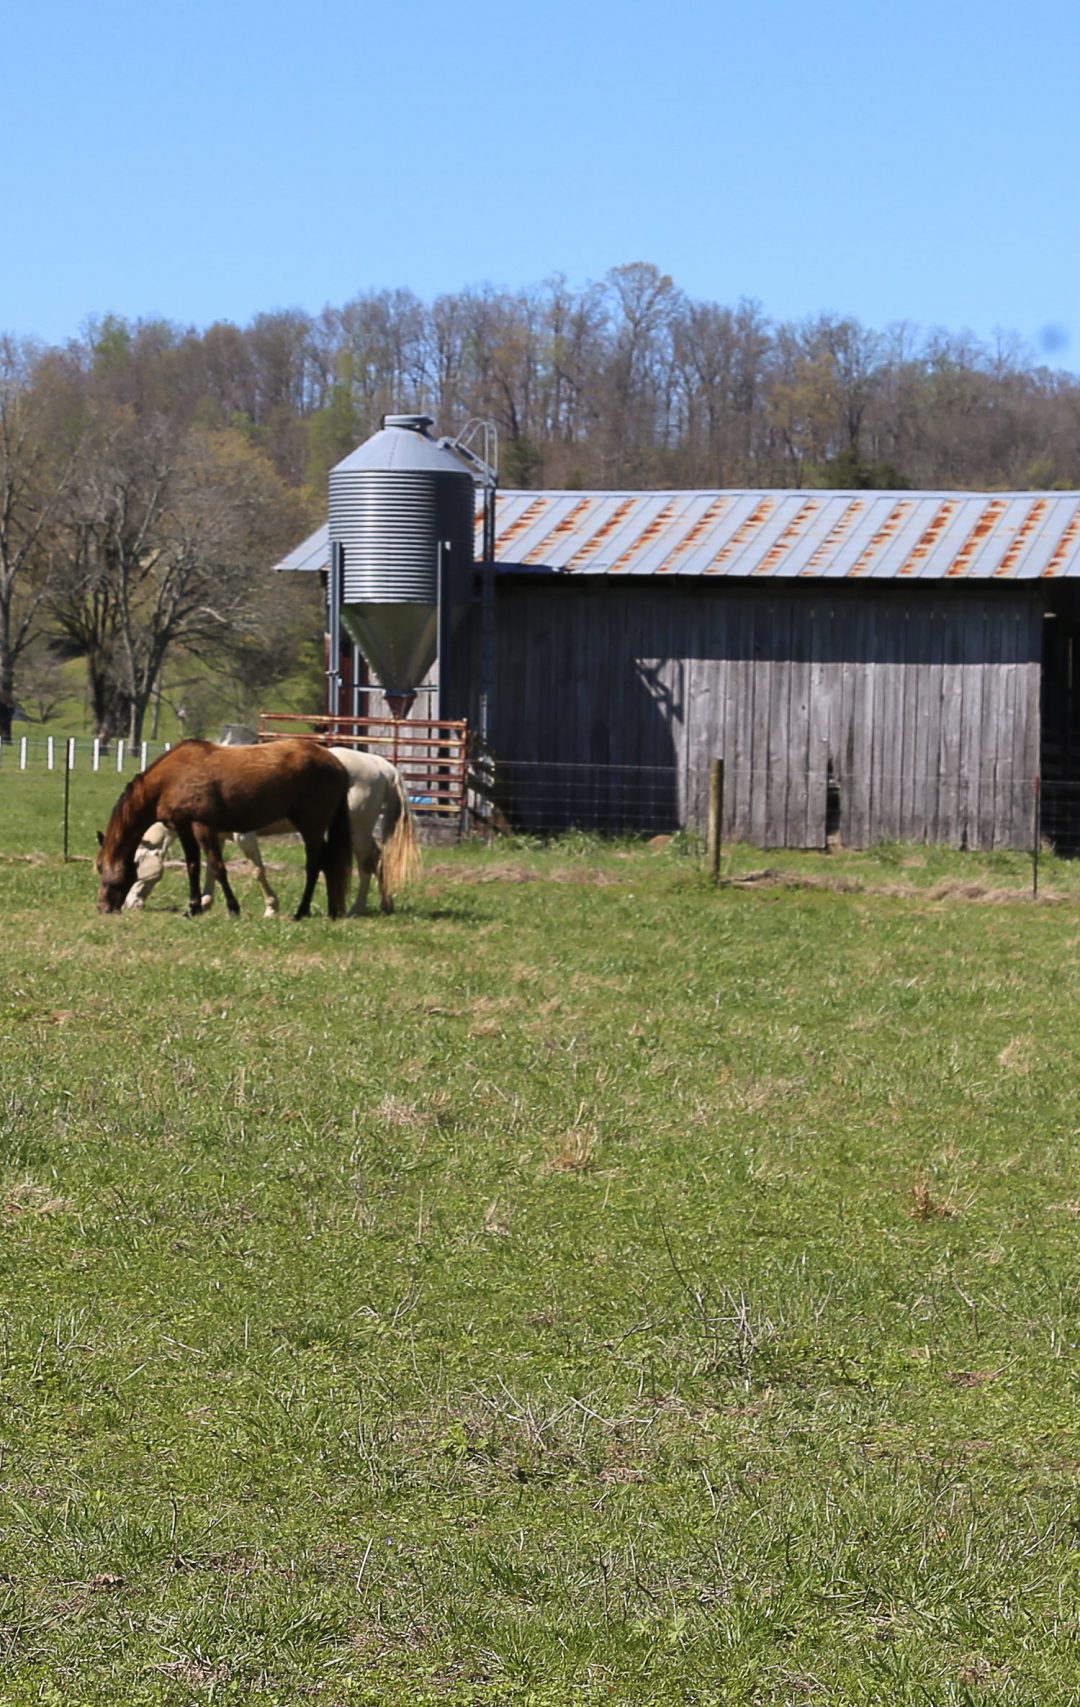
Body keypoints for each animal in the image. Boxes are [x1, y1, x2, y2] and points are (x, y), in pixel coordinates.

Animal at [95, 734, 349, 921]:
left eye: (100, 867)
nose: (103, 907)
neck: (169, 780)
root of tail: (336, 762)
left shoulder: (204, 827)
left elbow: (218, 868)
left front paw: (233, 908)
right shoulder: (185, 829)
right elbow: (193, 867)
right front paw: (193, 908)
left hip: (311, 826)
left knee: (315, 865)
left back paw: (302, 911)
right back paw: (331, 911)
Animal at [121, 740, 416, 914]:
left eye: (135, 862)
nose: (129, 904)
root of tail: (380, 765)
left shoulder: (244, 837)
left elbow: (257, 871)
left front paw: (271, 907)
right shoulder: (216, 835)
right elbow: (212, 869)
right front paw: (205, 901)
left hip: (357, 832)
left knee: (368, 862)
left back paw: (358, 907)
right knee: (377, 860)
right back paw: (385, 904)